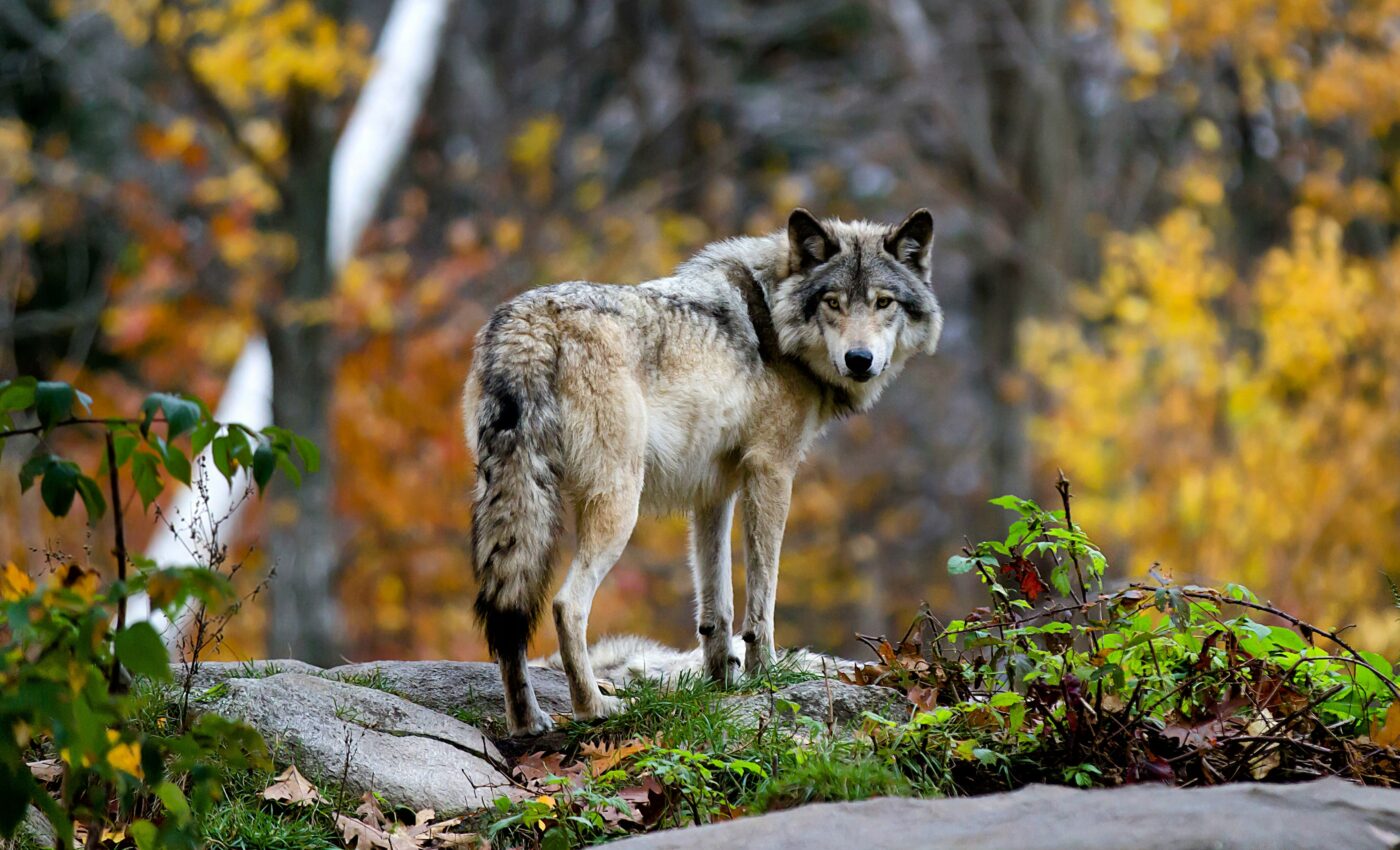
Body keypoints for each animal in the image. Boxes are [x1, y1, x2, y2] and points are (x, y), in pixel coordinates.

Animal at [464, 208, 942, 735]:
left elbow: (717, 605)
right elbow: (762, 598)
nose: (860, 360)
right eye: (833, 303)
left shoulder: (713, 492)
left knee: (507, 615)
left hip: (512, 499)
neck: (773, 317)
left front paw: (721, 683)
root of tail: (530, 323)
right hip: (619, 504)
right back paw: (595, 708)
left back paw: (527, 722)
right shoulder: (772, 472)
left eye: (883, 302)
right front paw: (764, 675)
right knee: (567, 605)